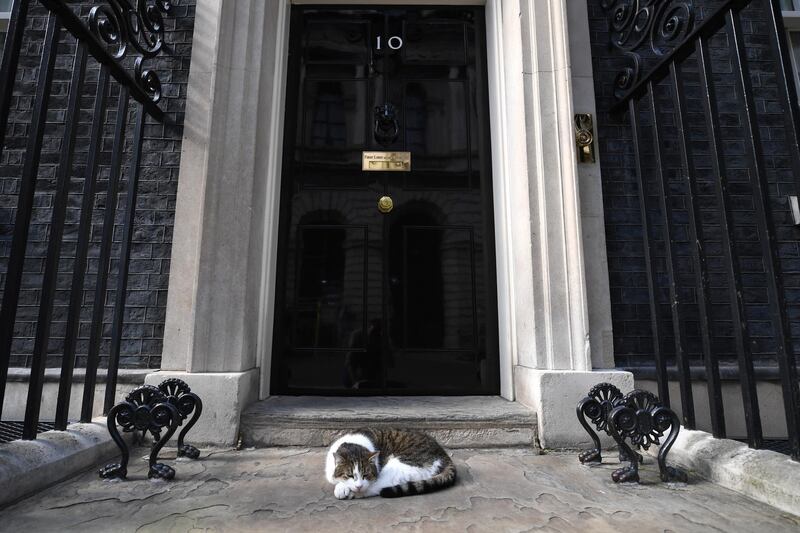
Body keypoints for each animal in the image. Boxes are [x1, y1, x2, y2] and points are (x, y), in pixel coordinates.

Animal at [324, 426, 456, 496]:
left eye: (366, 474)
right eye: (350, 475)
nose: (359, 486)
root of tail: (443, 454)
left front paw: (342, 488)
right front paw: (343, 486)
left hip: (400, 465)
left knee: (378, 487)